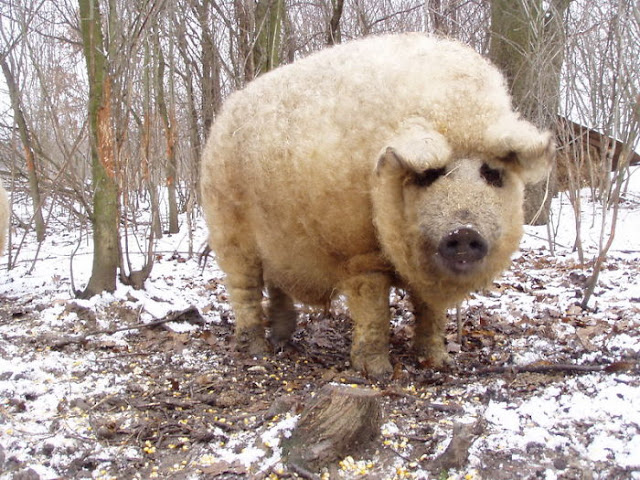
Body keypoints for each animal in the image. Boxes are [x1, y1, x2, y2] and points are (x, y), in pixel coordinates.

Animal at [201, 33, 556, 378]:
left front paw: (438, 362)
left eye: (492, 174)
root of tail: (222, 117)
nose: (464, 230)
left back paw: (283, 341)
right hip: (229, 231)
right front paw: (378, 373)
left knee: (276, 286)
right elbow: (375, 312)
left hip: (277, 243)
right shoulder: (359, 253)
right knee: (244, 289)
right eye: (429, 175)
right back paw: (256, 350)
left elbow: (431, 312)